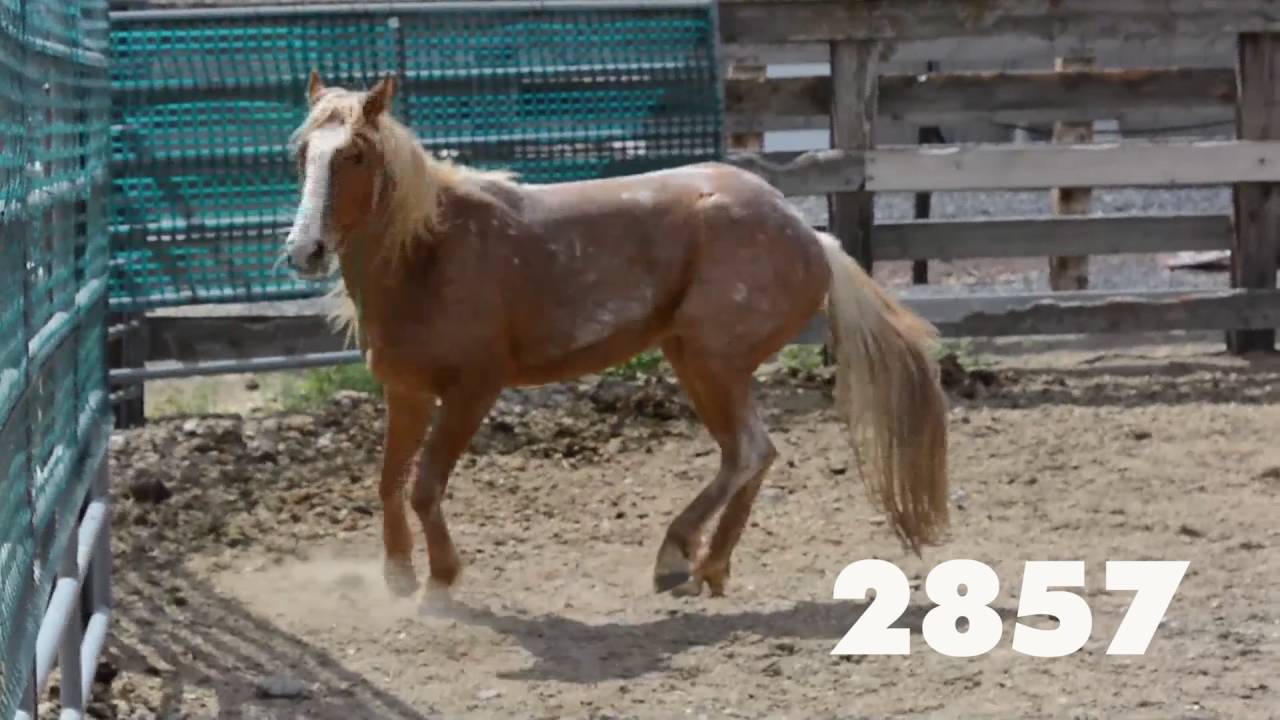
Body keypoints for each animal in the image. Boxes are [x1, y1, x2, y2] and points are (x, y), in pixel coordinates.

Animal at [282, 71, 950, 600]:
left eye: (356, 155)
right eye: (303, 153)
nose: (302, 251)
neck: (429, 252)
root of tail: (813, 238)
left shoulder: (473, 390)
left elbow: (424, 486)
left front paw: (441, 582)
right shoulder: (407, 392)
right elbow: (390, 481)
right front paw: (399, 577)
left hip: (712, 363)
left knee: (751, 451)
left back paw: (682, 558)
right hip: (694, 363)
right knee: (746, 454)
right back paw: (701, 566)